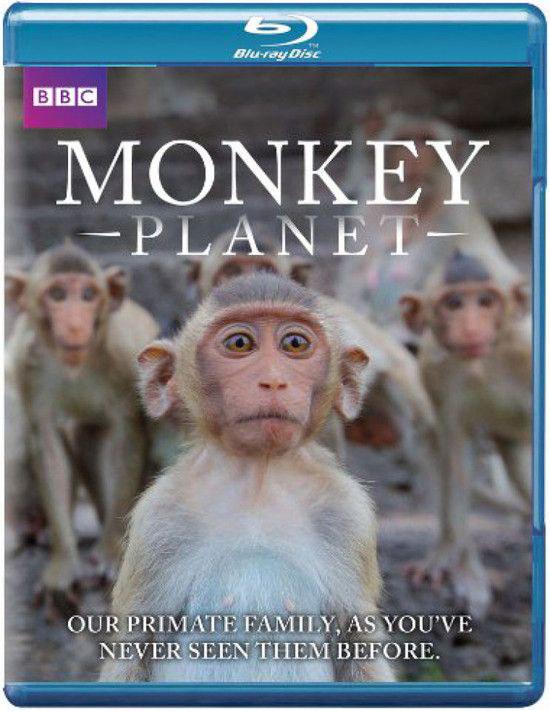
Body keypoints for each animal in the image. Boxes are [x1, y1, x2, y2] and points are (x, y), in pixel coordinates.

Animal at [5, 241, 160, 618]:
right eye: (58, 295)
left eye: (88, 295)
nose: (76, 324)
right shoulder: (25, 365)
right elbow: (46, 442)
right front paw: (63, 565)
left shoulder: (123, 356)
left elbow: (126, 436)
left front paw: (111, 555)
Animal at [100, 273, 394, 683]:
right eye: (239, 344)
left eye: (295, 344)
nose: (273, 381)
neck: (259, 478)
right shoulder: (159, 520)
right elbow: (134, 645)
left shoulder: (347, 514)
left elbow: (358, 645)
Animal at [338, 113, 520, 348]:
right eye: (403, 139)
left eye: (426, 140)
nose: (413, 156)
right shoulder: (367, 207)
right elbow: (355, 280)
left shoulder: (452, 214)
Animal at [399, 250, 531, 617]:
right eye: (454, 303)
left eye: (486, 301)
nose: (471, 326)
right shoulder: (435, 370)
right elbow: (456, 448)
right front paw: (446, 554)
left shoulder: (528, 348)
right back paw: (468, 572)